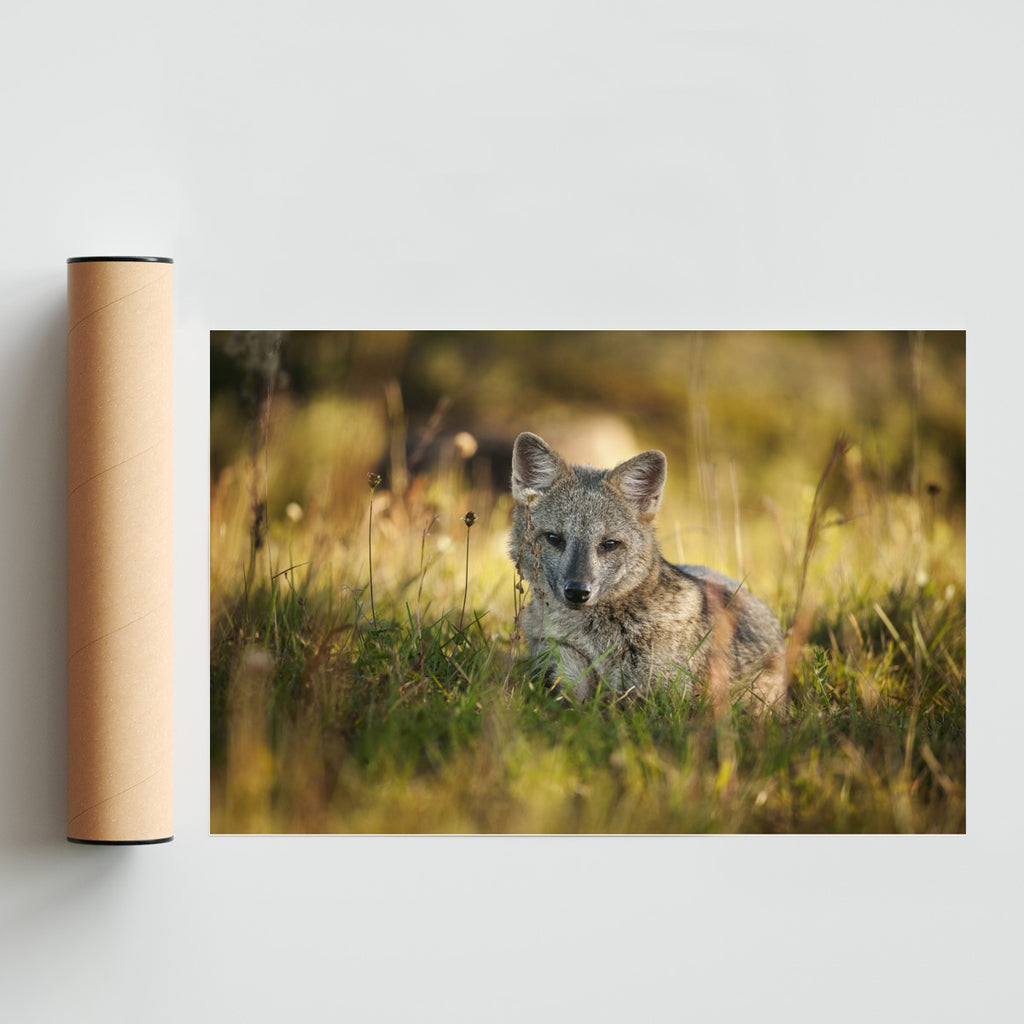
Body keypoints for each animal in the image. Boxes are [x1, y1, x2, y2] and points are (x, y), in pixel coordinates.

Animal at [509, 431, 786, 710]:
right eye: (554, 538)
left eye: (609, 544)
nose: (577, 591)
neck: (596, 641)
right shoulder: (562, 674)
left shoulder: (669, 696)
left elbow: (616, 701)